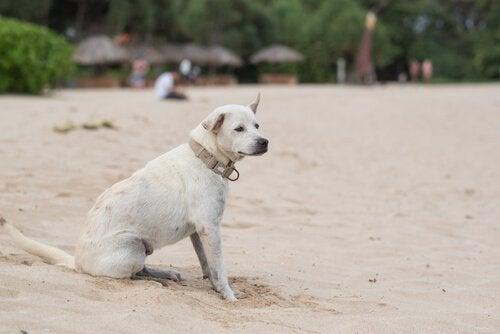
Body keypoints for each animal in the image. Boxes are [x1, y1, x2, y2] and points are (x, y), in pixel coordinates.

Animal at [1, 95, 268, 302]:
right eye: (239, 129)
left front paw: (214, 287)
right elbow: (219, 268)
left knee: (141, 270)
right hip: (133, 247)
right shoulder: (210, 228)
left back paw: (164, 275)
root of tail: (77, 262)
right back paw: (156, 282)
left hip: (142, 248)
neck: (207, 158)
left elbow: (208, 265)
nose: (264, 142)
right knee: (132, 275)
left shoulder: (198, 231)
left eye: (257, 125)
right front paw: (229, 296)